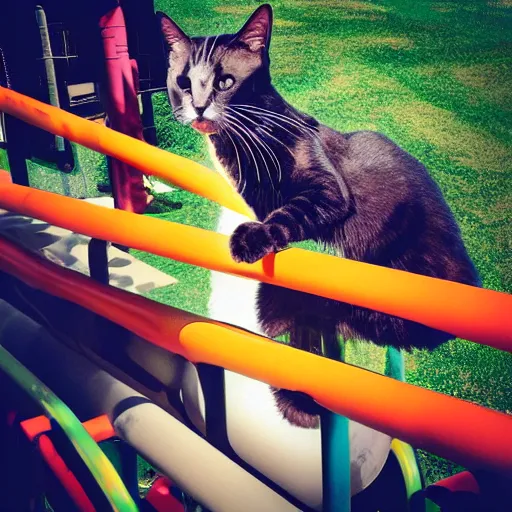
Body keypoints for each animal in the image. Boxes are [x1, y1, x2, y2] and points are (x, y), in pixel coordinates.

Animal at [158, 5, 482, 428]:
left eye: (225, 81)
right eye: (183, 82)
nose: (197, 106)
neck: (245, 140)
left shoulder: (328, 189)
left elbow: (290, 212)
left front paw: (251, 238)